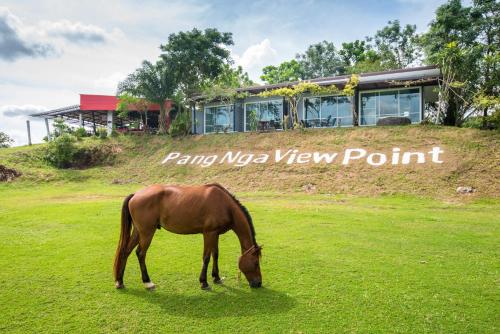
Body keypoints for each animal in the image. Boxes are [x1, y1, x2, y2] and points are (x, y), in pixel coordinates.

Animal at [113, 183, 262, 290]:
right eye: (255, 262)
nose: (258, 283)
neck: (224, 205)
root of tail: (135, 194)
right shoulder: (209, 233)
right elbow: (206, 257)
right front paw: (204, 282)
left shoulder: (216, 234)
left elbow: (215, 254)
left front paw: (216, 277)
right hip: (147, 232)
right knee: (140, 253)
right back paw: (147, 282)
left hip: (138, 231)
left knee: (126, 251)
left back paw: (120, 281)